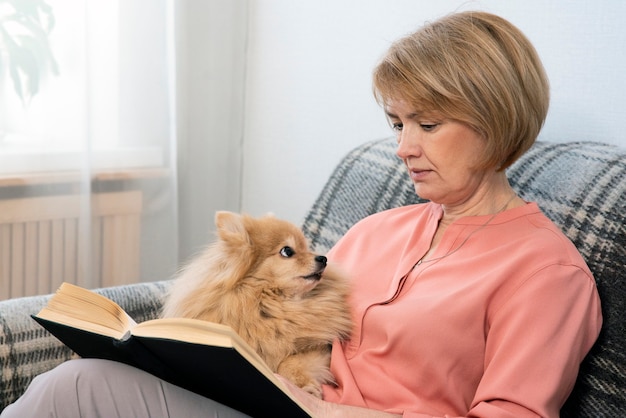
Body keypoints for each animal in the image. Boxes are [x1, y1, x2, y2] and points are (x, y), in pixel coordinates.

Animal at [160, 211, 352, 396]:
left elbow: (288, 362)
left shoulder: (320, 349)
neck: (268, 306)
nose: (323, 258)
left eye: (307, 248)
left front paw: (305, 387)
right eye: (287, 251)